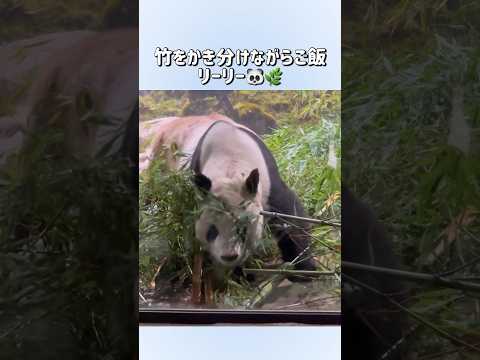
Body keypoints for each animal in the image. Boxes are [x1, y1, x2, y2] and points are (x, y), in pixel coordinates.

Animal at [142, 115, 316, 272]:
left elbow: (291, 219)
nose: (229, 256)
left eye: (243, 229)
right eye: (212, 231)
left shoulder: (269, 182)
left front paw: (304, 268)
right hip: (160, 166)